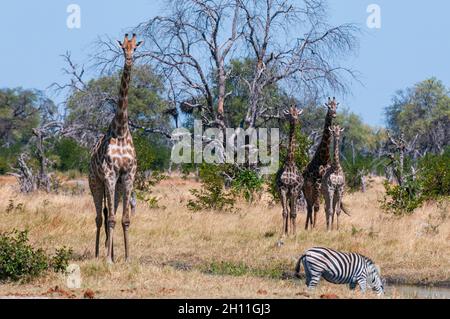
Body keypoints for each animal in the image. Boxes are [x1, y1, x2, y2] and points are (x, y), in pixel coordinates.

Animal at [302, 97, 338, 230]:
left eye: (336, 106)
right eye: (329, 106)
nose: (334, 114)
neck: (324, 157)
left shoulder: (324, 185)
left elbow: (324, 207)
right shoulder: (317, 183)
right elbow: (317, 207)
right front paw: (314, 228)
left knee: (311, 205)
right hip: (307, 189)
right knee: (309, 206)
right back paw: (307, 227)